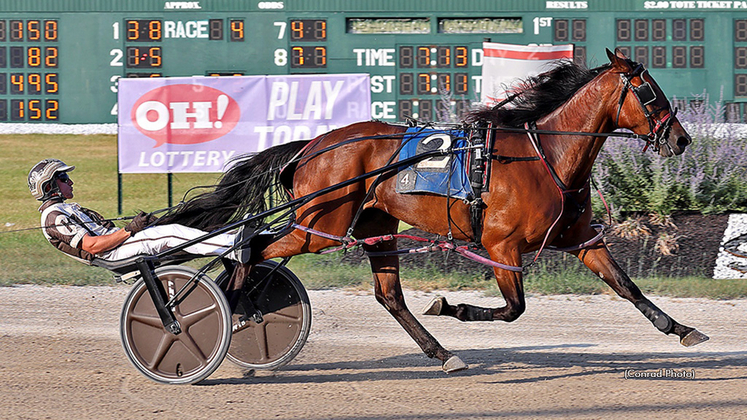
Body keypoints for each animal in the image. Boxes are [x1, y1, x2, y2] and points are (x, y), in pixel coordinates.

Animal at [158, 50, 708, 374]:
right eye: (649, 91)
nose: (682, 139)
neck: (545, 154)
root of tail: (312, 146)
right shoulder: (501, 245)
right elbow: (514, 308)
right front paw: (454, 307)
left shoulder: (579, 238)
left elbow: (627, 285)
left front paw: (682, 329)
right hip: (319, 227)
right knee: (251, 246)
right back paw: (231, 307)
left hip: (375, 226)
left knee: (387, 295)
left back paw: (442, 354)